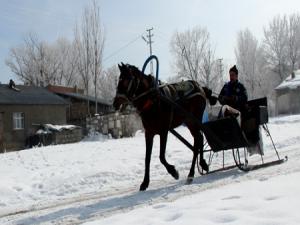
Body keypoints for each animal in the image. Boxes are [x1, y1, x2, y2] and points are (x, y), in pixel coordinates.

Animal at [113, 63, 217, 192]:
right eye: (119, 79)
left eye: (127, 80)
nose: (115, 103)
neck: (153, 100)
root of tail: (200, 87)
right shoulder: (149, 133)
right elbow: (147, 158)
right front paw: (145, 182)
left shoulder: (163, 131)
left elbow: (161, 156)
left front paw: (173, 172)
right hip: (189, 121)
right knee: (199, 138)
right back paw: (203, 164)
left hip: (195, 119)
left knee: (197, 141)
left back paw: (191, 174)